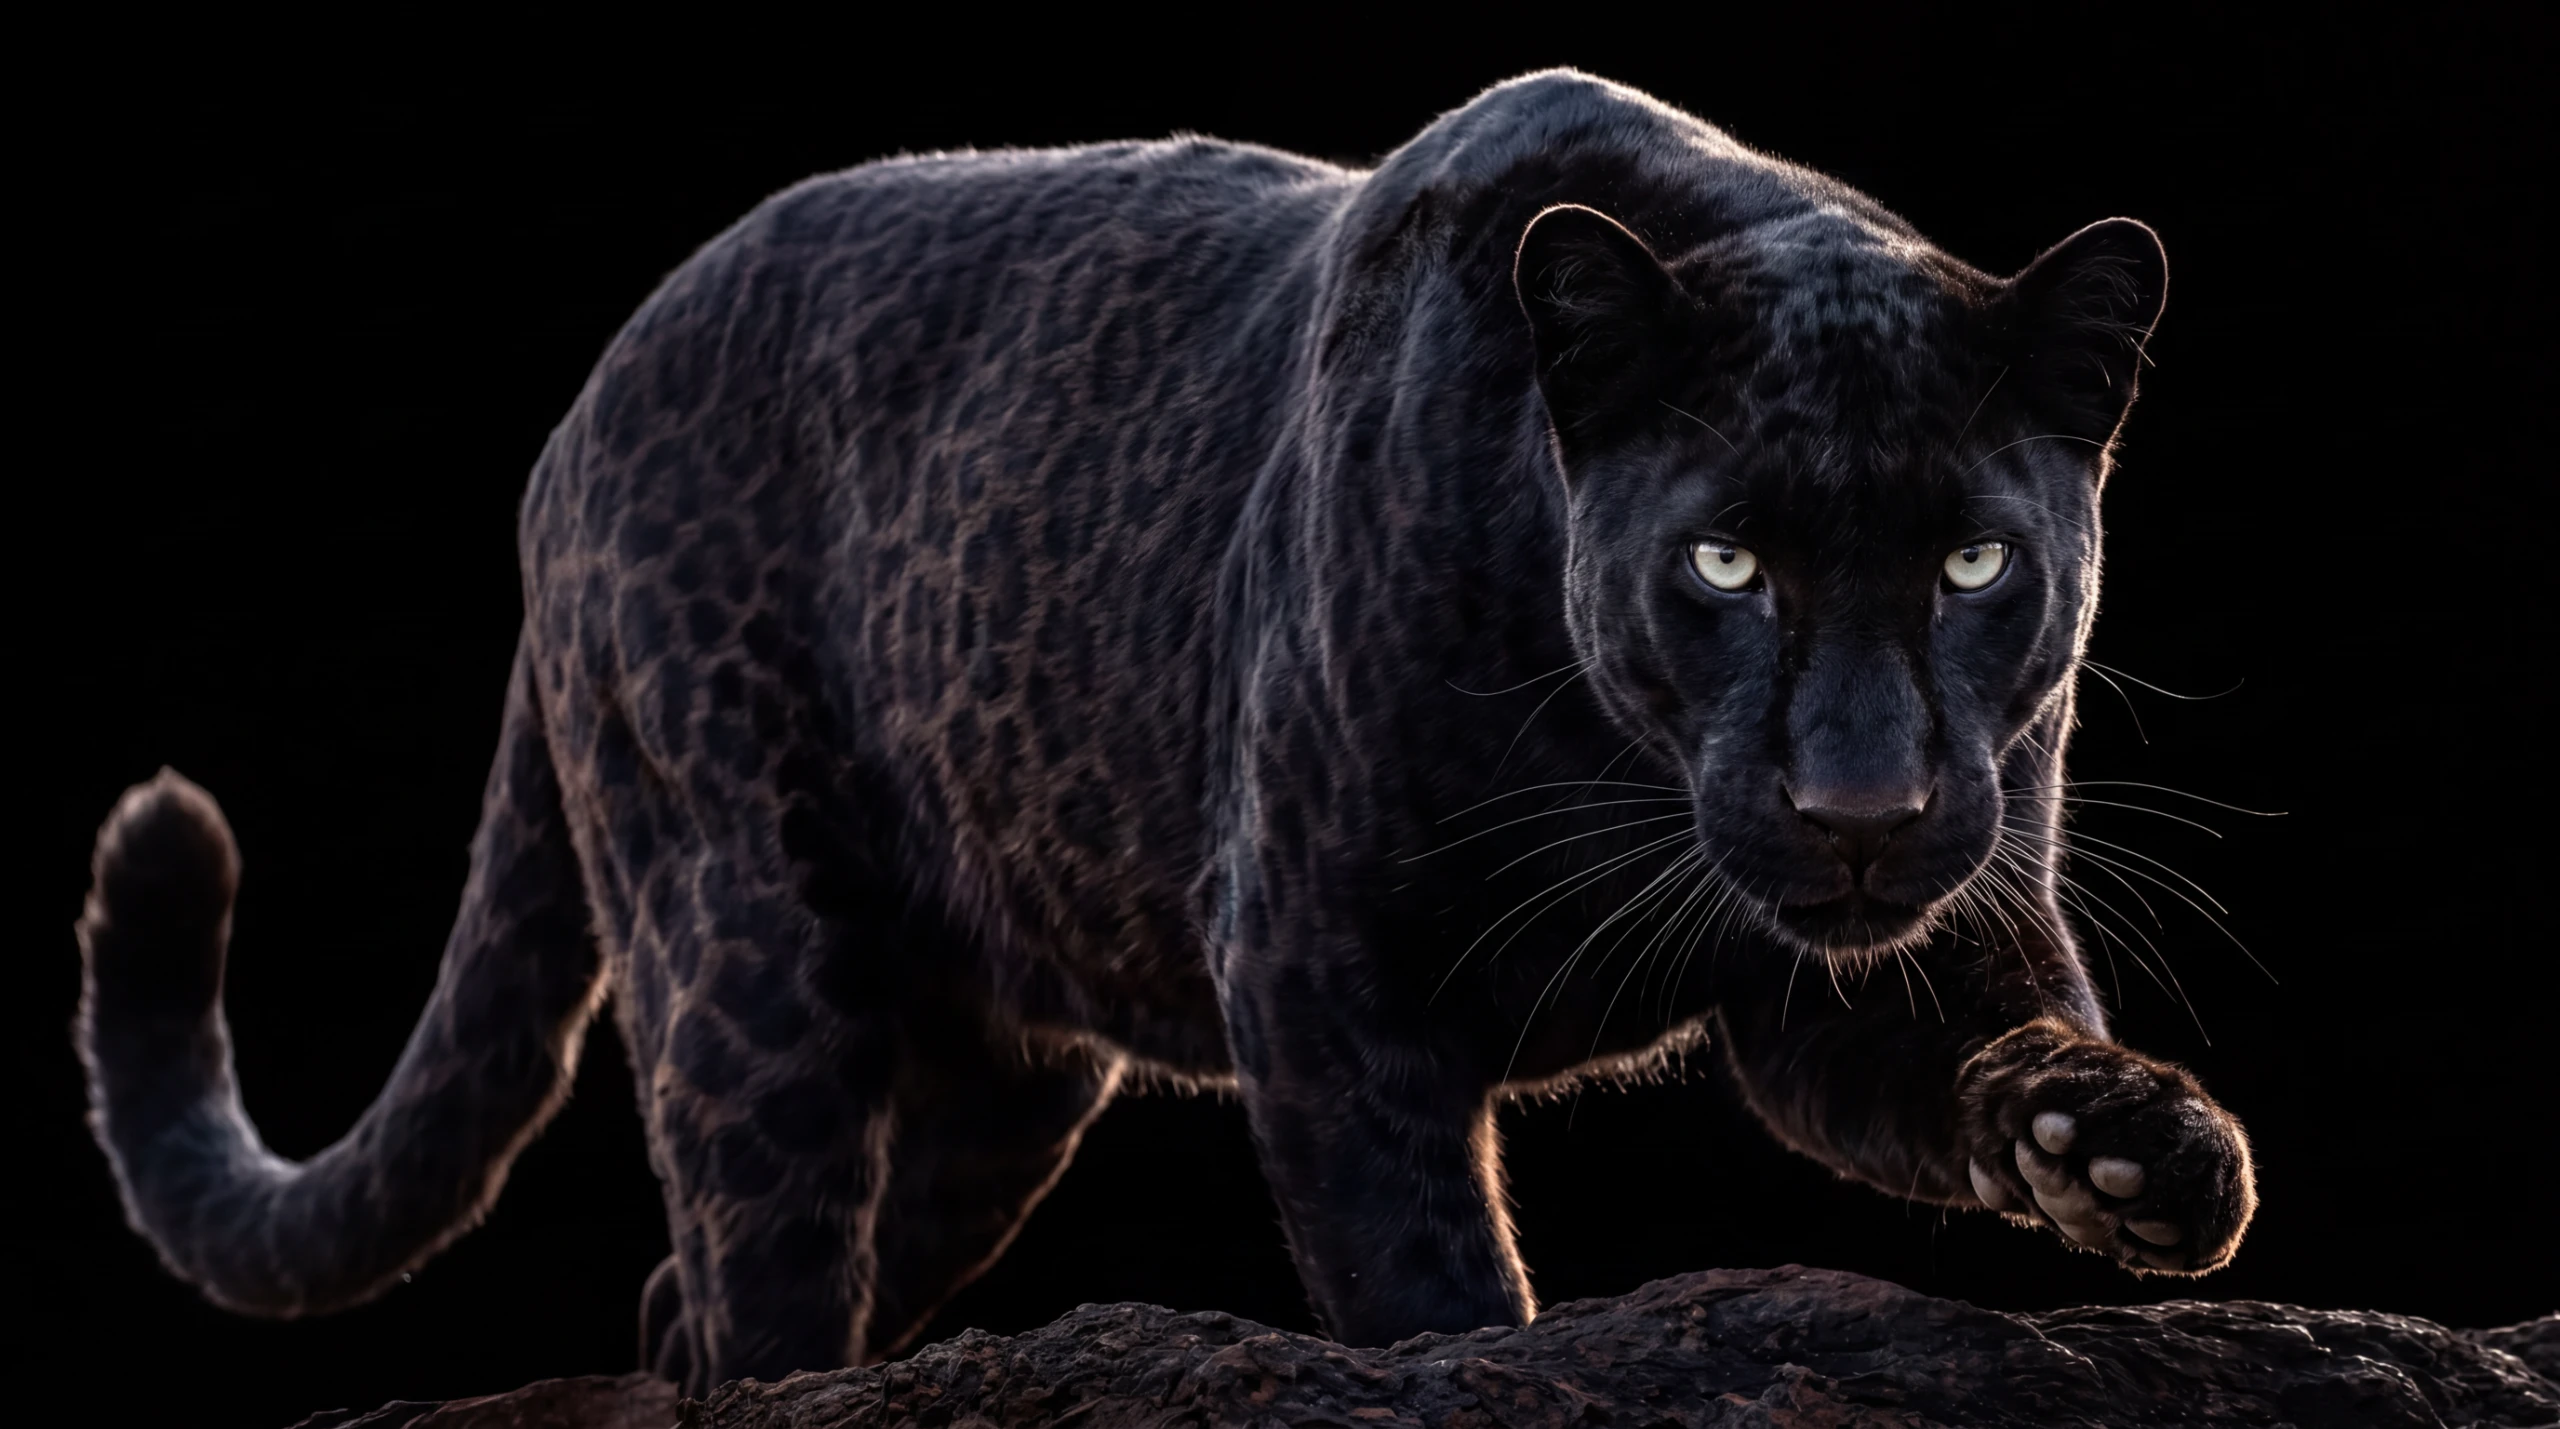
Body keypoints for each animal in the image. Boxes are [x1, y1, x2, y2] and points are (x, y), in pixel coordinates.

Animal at [76, 69, 2257, 1394]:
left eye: (1975, 561)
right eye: (1722, 561)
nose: (1859, 800)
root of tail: (578, 415)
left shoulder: (1884, 955)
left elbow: (1992, 1037)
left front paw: (2130, 1151)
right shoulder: (1319, 967)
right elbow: (1424, 1279)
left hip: (994, 1083)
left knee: (702, 1282)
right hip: (745, 948)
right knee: (759, 1255)